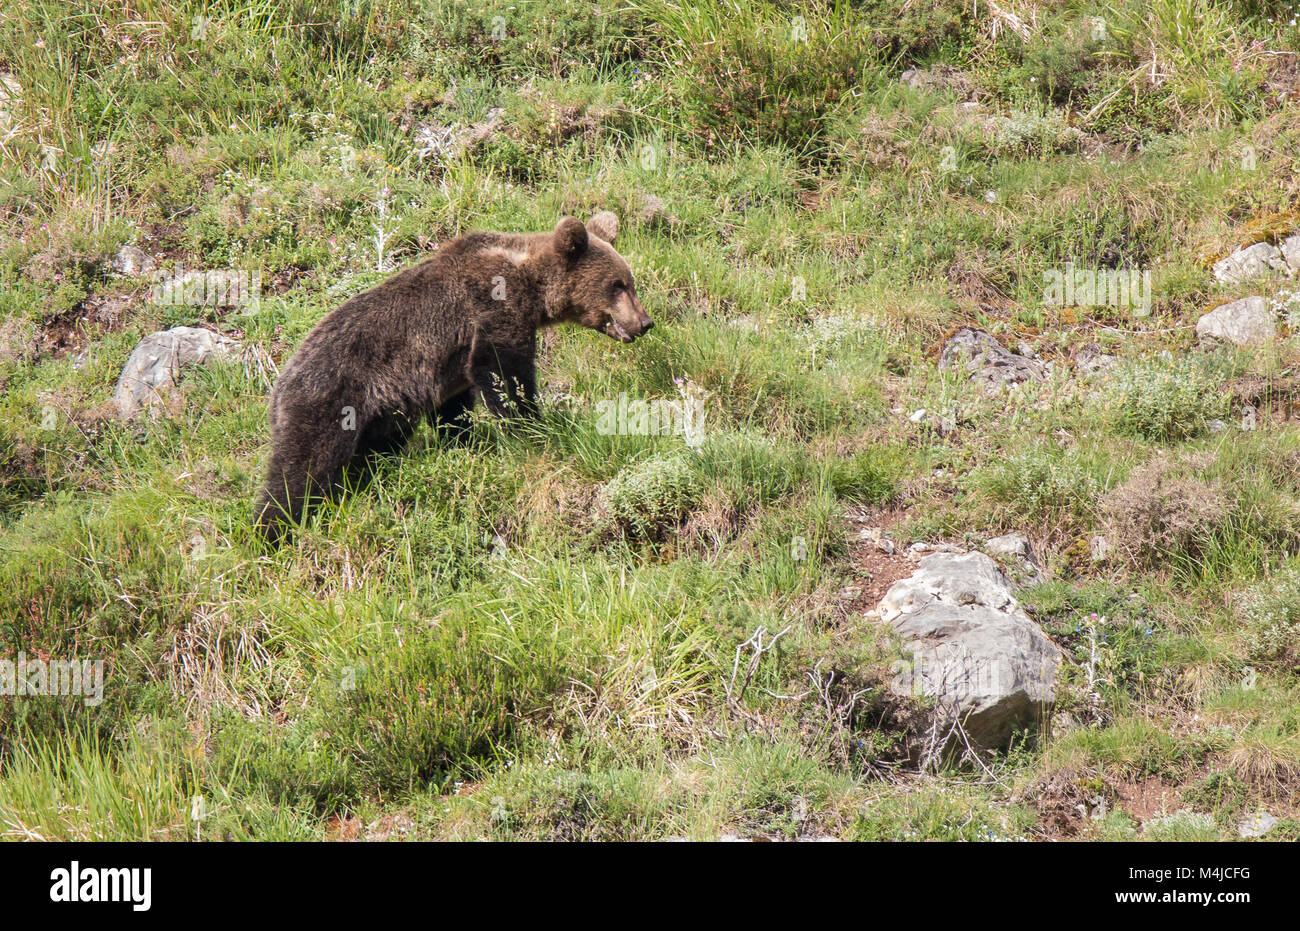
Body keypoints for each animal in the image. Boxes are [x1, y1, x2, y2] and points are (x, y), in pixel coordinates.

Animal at [256, 210, 650, 540]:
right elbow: (505, 373)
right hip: (329, 401)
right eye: (618, 284)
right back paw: (274, 529)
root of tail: (278, 385)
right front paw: (533, 425)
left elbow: (453, 407)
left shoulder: (446, 369)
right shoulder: (494, 308)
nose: (645, 322)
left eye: (629, 281)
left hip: (377, 413)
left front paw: (464, 439)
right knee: (301, 469)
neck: (531, 284)